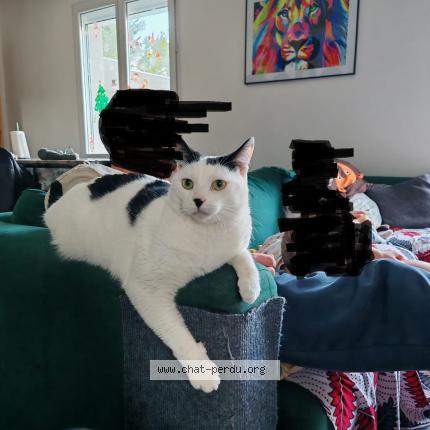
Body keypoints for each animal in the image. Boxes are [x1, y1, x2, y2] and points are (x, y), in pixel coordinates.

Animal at [44, 138, 260, 393]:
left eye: (219, 185)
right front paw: (203, 372)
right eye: (187, 184)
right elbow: (177, 333)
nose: (198, 201)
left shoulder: (233, 245)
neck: (206, 236)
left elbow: (244, 255)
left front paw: (251, 288)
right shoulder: (146, 288)